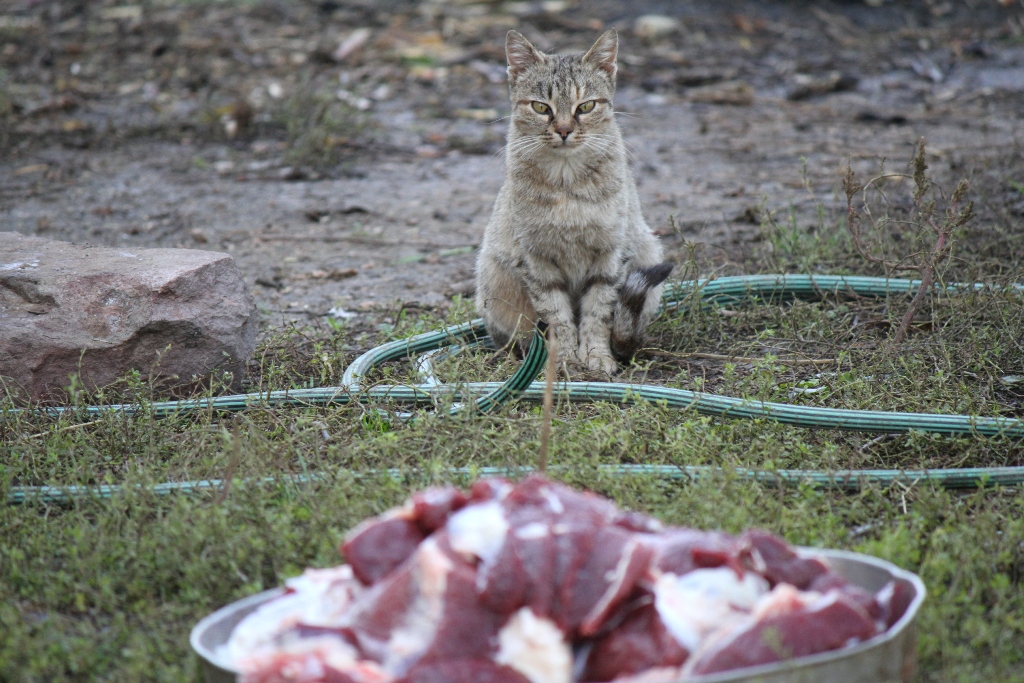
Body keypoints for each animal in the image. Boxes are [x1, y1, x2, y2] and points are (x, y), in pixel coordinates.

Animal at [477, 29, 675, 374]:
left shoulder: (611, 255)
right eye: (541, 107)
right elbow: (557, 317)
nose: (564, 130)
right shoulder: (536, 261)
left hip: (647, 250)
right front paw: (566, 360)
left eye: (586, 106)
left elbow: (598, 313)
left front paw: (596, 357)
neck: (567, 182)